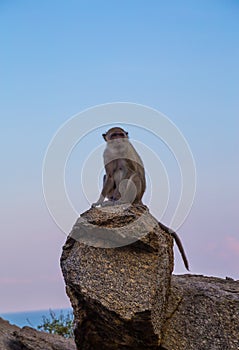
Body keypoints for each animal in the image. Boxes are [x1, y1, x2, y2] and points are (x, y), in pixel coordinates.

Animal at [92, 126, 190, 270]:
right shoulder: (107, 155)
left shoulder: (126, 152)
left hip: (135, 193)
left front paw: (116, 198)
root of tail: (139, 199)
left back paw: (122, 200)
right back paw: (111, 200)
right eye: (114, 135)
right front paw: (99, 201)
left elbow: (131, 172)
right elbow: (109, 176)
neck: (117, 151)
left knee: (133, 176)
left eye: (120, 134)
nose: (119, 139)